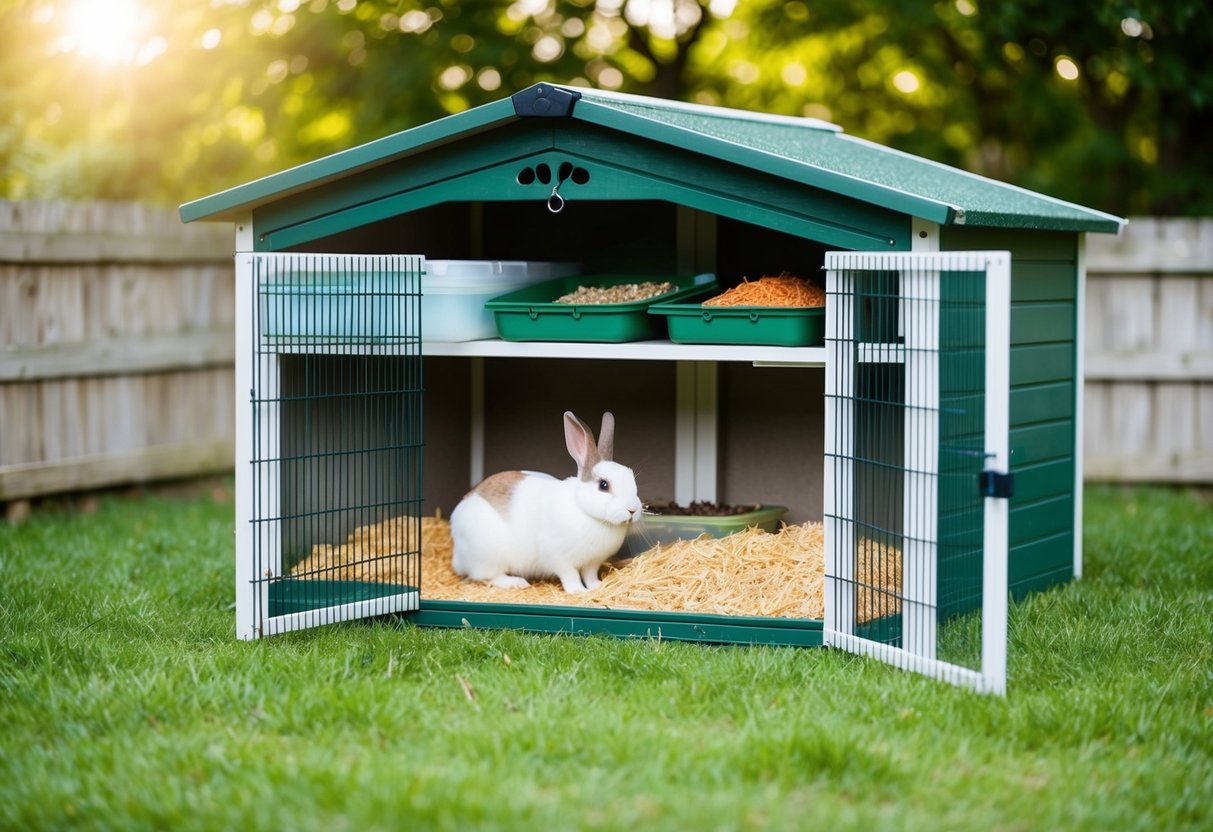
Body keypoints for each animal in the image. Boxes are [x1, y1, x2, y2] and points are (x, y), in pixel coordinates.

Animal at [450, 410, 643, 593]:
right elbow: (570, 575)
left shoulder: (592, 562)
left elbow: (590, 575)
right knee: (490, 576)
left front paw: (596, 586)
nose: (632, 510)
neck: (585, 512)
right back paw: (516, 582)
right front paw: (578, 591)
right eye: (604, 485)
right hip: (489, 557)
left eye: (632, 479)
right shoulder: (558, 557)